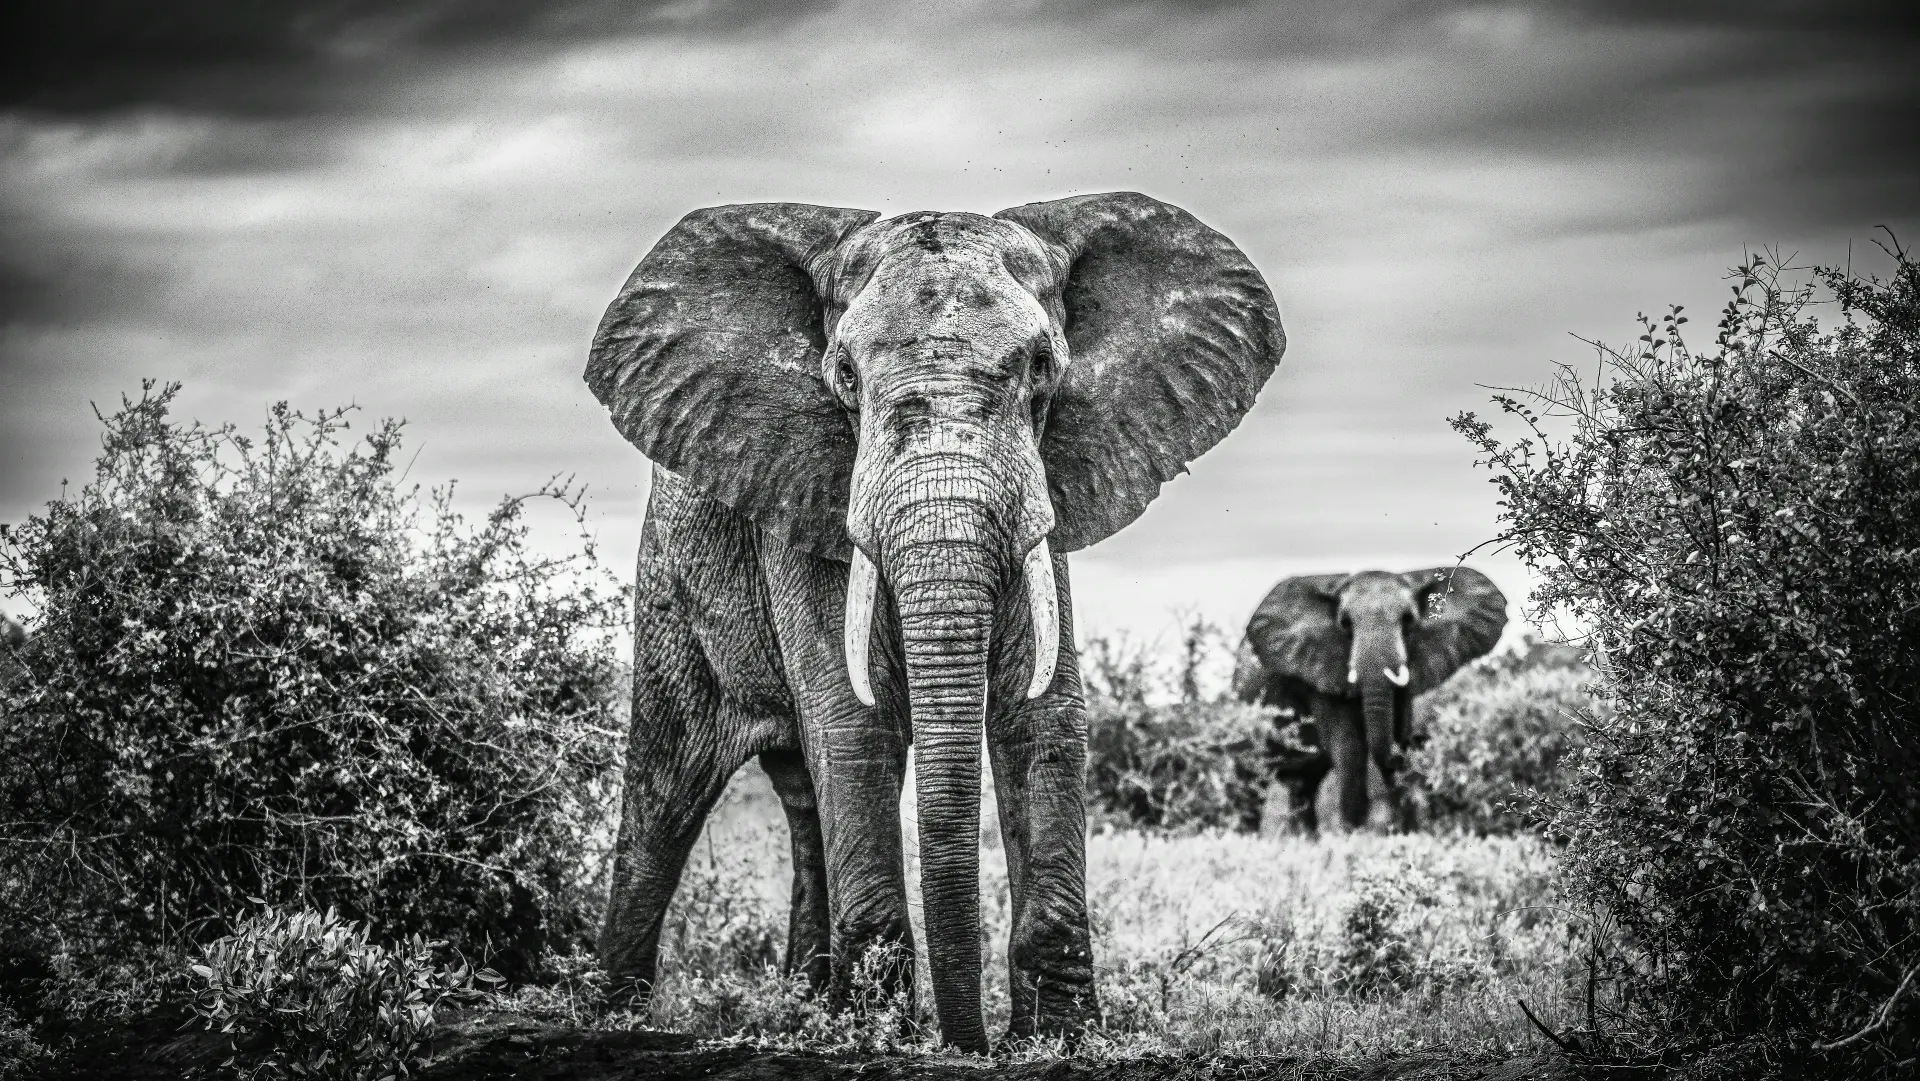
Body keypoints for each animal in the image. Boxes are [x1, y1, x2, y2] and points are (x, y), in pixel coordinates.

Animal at [584, 193, 1284, 1051]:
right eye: (845, 376)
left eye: (1042, 366)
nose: (969, 1042)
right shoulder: (805, 491)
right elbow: (856, 722)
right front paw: (883, 1031)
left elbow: (1041, 717)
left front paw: (1057, 1036)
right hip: (671, 582)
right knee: (665, 789)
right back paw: (616, 1013)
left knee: (800, 802)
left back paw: (804, 1004)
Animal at [1232, 568, 1506, 835]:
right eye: (1345, 624)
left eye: (1408, 620)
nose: (1420, 740)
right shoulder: (1319, 671)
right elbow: (1350, 747)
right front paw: (1354, 834)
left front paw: (1406, 832)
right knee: (1250, 777)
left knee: (1305, 782)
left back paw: (1307, 838)